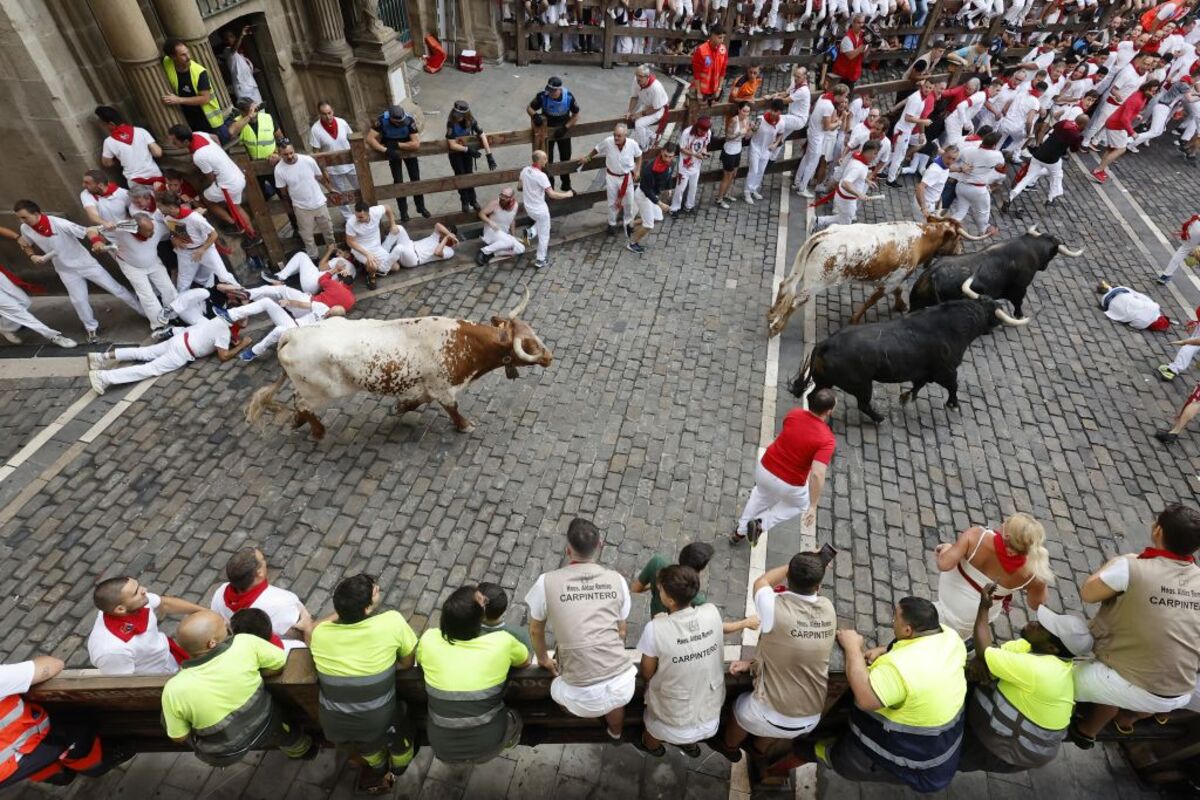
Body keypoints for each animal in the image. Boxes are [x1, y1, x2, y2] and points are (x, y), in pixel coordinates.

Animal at [244, 289, 552, 438]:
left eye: (533, 332)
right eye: (527, 345)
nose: (549, 357)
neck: (461, 343)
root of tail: (292, 334)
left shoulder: (427, 387)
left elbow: (417, 401)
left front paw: (401, 407)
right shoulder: (444, 389)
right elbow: (453, 410)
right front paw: (465, 426)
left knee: (298, 406)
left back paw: (299, 423)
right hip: (317, 392)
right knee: (303, 405)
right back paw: (317, 431)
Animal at [768, 217, 984, 335]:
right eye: (958, 237)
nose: (960, 251)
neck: (919, 240)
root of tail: (825, 235)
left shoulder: (895, 278)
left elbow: (897, 292)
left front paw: (901, 305)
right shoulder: (891, 281)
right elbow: (872, 300)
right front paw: (855, 319)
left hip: (798, 269)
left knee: (784, 285)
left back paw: (772, 313)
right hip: (817, 282)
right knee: (796, 301)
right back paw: (777, 327)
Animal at [792, 302, 1027, 424]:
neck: (954, 324)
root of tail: (826, 343)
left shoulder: (923, 374)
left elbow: (918, 385)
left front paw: (906, 397)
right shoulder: (946, 371)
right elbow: (953, 386)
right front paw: (953, 405)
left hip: (825, 381)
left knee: (814, 396)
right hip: (862, 385)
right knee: (863, 404)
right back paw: (879, 418)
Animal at [907, 230, 1080, 316]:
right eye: (1054, 253)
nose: (1044, 267)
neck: (1032, 248)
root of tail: (933, 274)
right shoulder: (1020, 289)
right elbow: (1018, 303)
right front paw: (1019, 315)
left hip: (915, 303)